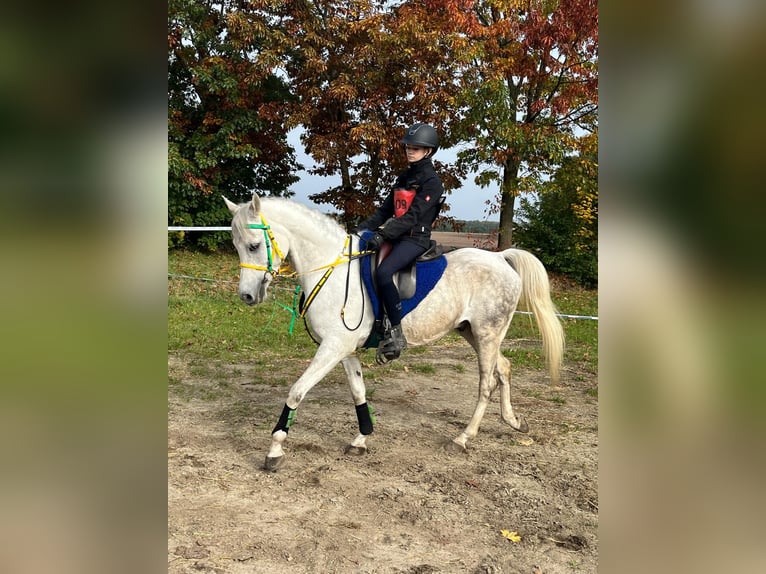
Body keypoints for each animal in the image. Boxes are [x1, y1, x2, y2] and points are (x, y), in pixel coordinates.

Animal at [224, 193, 564, 471]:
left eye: (254, 245)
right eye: (238, 246)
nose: (247, 296)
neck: (332, 269)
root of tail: (499, 257)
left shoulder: (333, 347)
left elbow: (296, 391)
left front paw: (274, 450)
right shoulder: (343, 349)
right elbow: (358, 391)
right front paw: (361, 439)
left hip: (487, 333)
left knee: (486, 383)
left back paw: (463, 437)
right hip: (475, 333)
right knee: (503, 368)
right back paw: (514, 421)